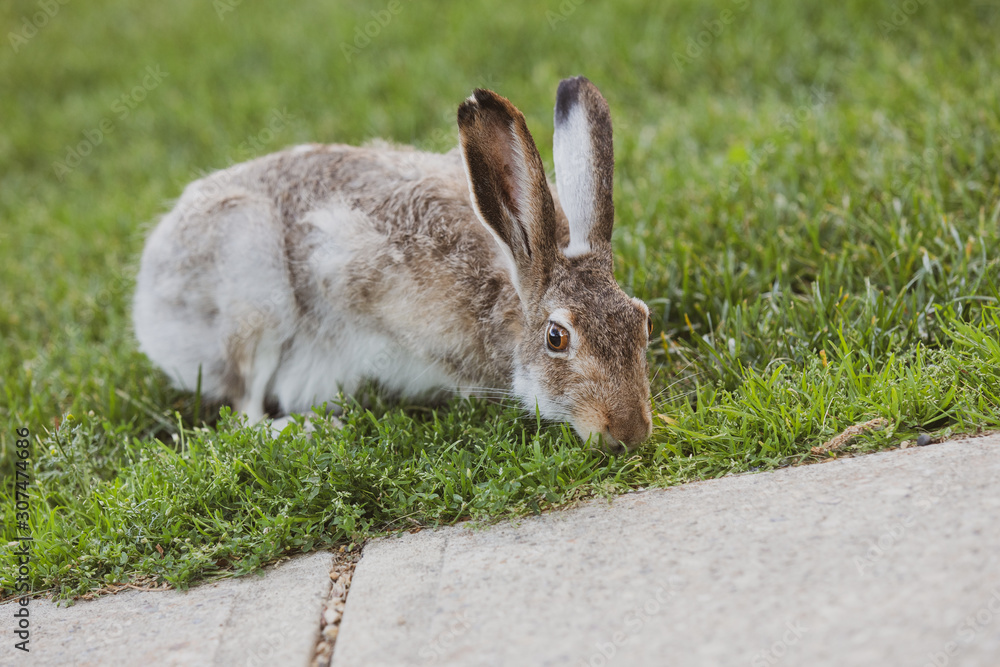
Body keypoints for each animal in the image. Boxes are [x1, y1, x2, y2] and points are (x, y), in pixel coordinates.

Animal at [133, 76, 653, 451]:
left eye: (642, 321)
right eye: (556, 338)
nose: (629, 433)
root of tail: (148, 296)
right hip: (254, 294)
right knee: (243, 410)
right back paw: (310, 428)